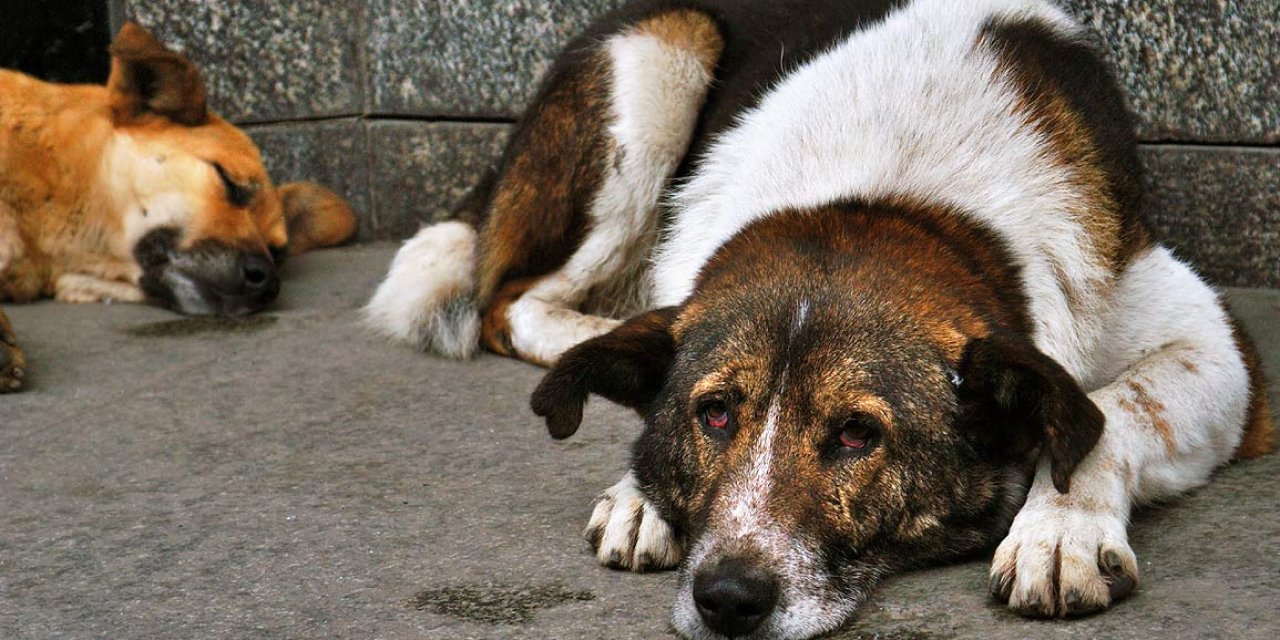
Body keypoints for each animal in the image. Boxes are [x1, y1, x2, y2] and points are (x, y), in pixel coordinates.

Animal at [366, 2, 1274, 637]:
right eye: (714, 413)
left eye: (856, 435)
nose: (728, 599)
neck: (882, 195)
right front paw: (638, 486)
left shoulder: (1221, 348)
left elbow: (1112, 409)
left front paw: (1060, 532)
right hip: (661, 51)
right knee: (507, 299)